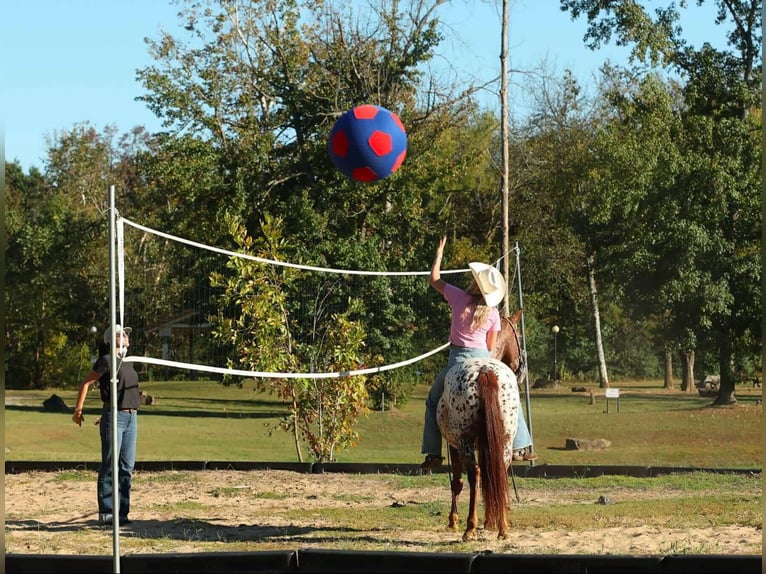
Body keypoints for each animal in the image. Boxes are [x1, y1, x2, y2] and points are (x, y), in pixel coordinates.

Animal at [435, 310, 523, 541]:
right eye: (519, 336)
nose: (520, 367)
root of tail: (484, 371)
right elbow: (489, 477)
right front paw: (490, 520)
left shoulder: (454, 445)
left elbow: (457, 481)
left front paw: (453, 520)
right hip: (504, 440)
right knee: (499, 471)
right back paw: (502, 527)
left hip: (464, 441)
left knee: (473, 474)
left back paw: (470, 527)